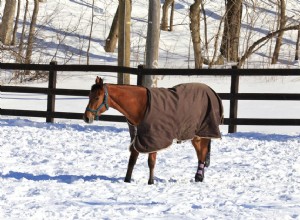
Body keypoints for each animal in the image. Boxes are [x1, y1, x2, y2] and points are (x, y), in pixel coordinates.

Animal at [82, 76, 223, 185]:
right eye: (89, 96)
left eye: (97, 97)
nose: (86, 117)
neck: (141, 105)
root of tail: (211, 91)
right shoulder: (139, 138)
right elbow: (132, 160)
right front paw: (127, 180)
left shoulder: (153, 138)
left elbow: (151, 162)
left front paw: (151, 182)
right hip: (196, 135)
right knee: (200, 153)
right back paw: (199, 177)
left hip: (202, 133)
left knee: (202, 153)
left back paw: (199, 177)